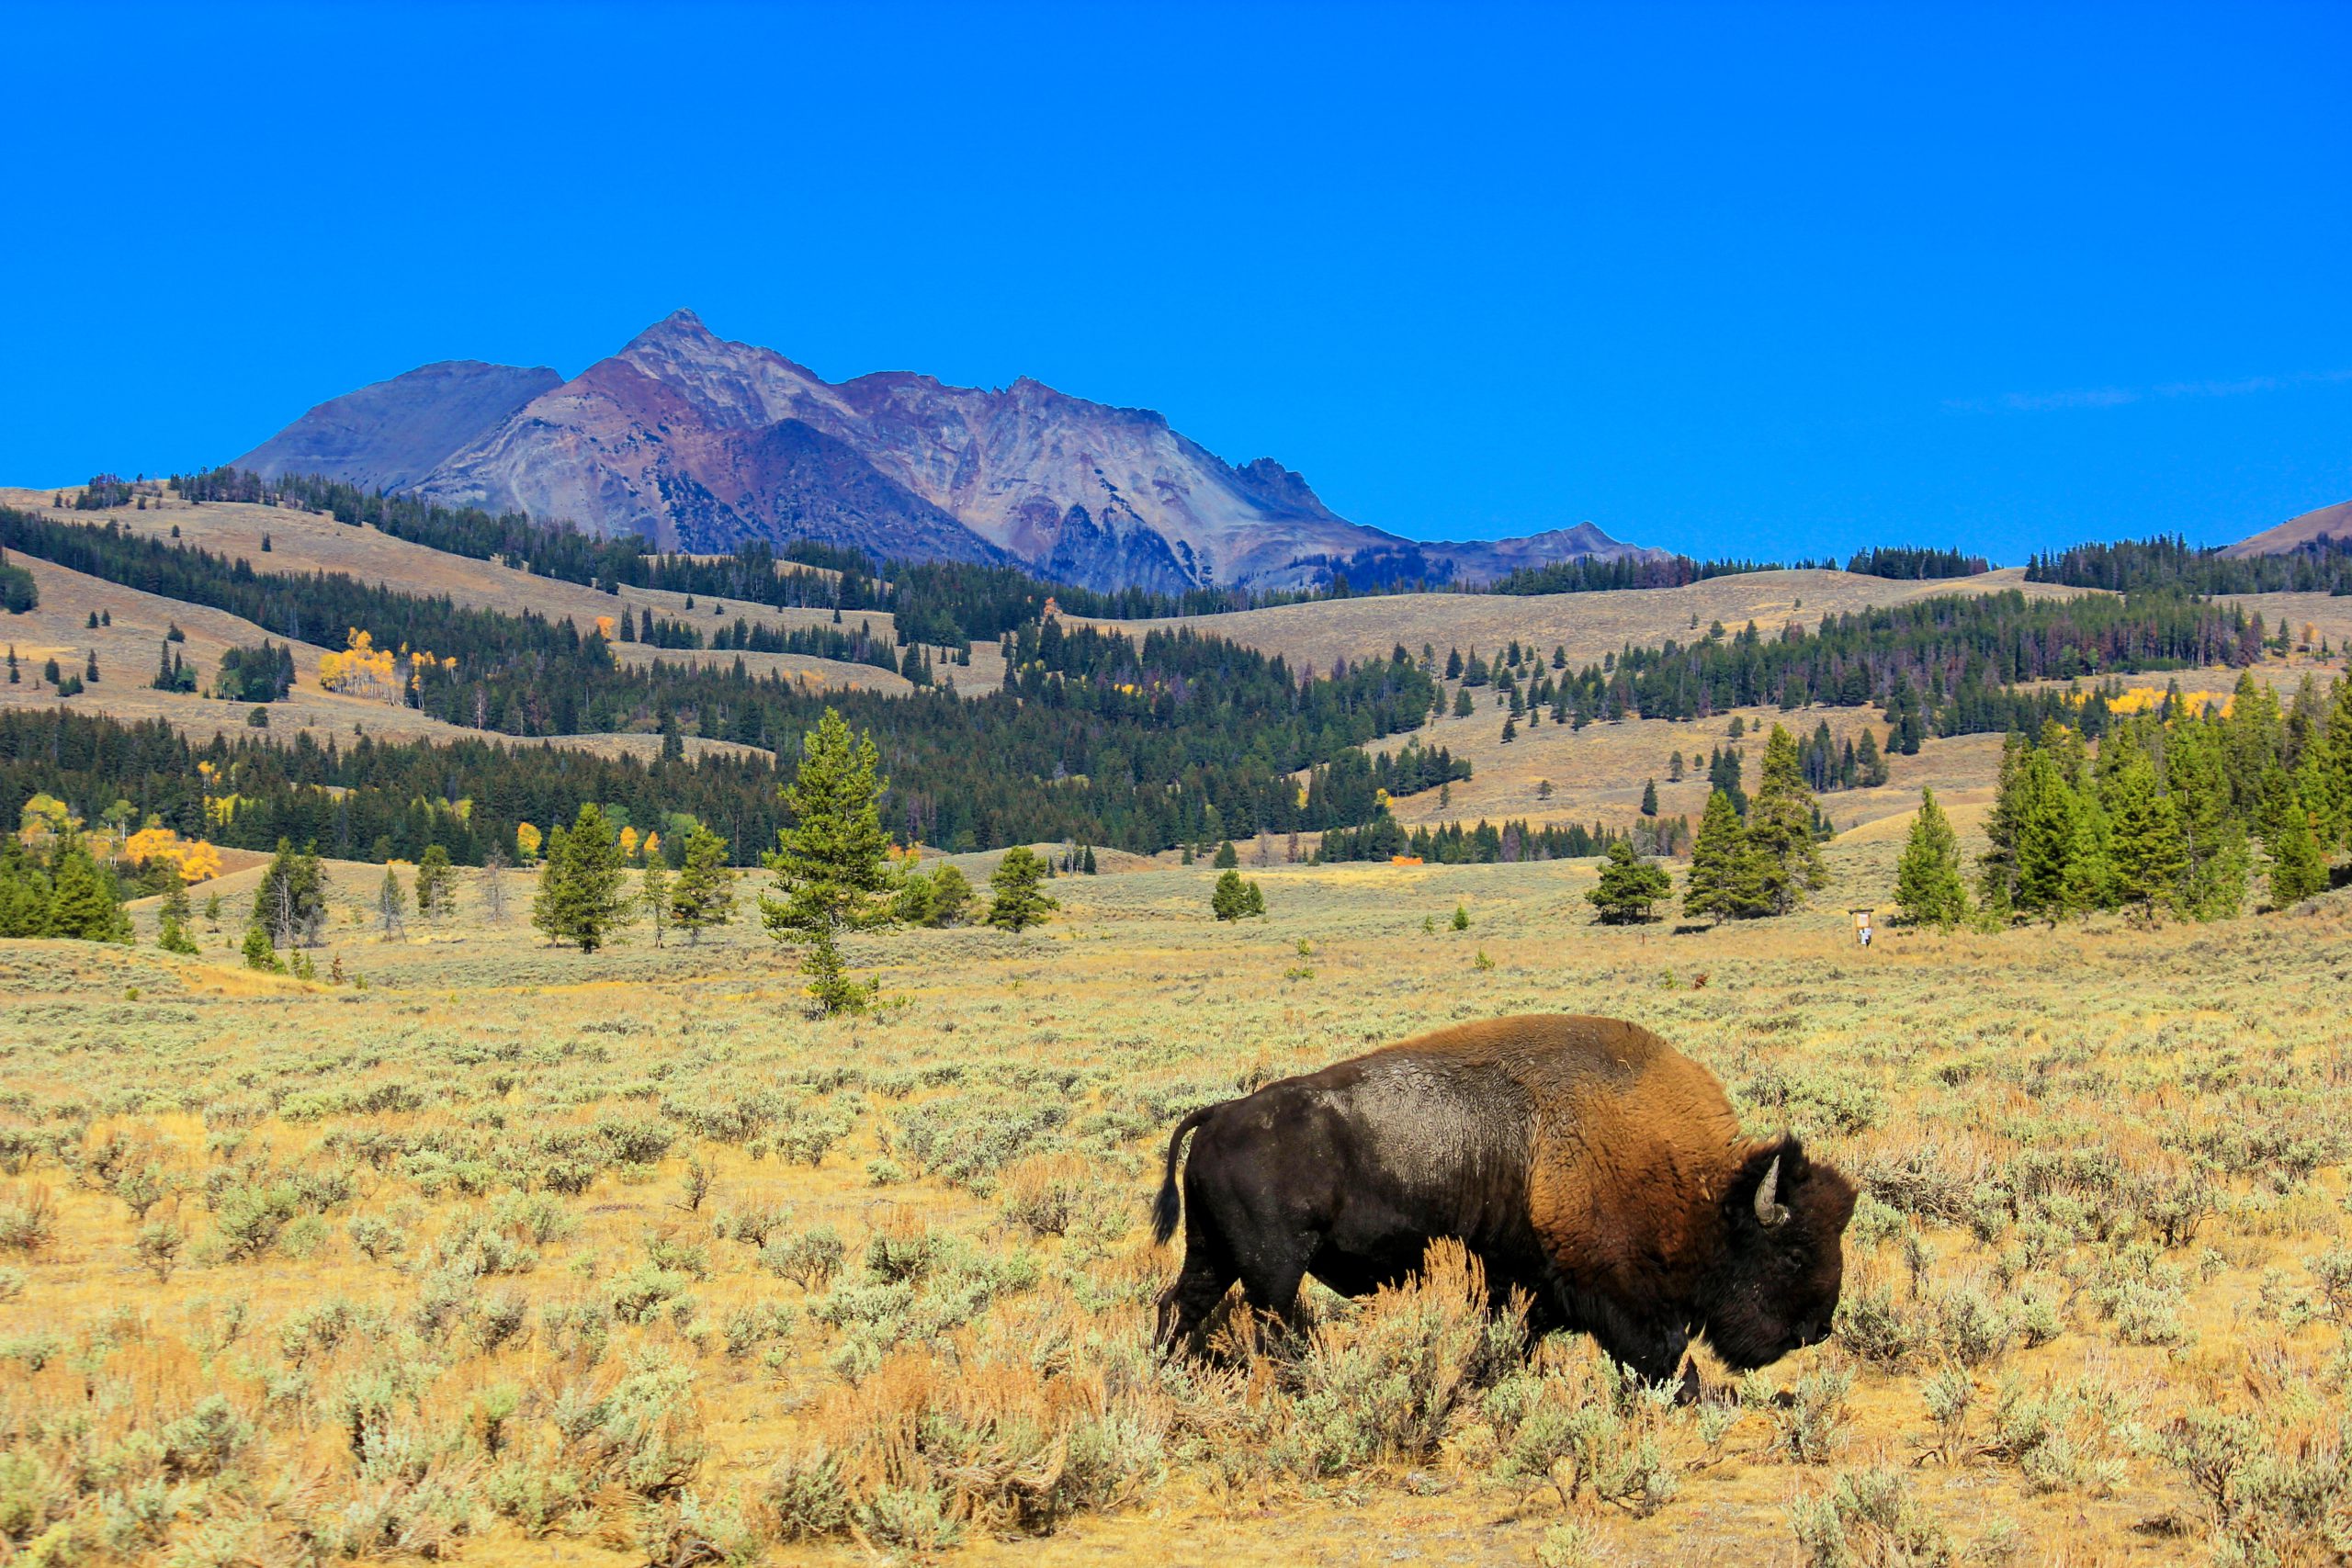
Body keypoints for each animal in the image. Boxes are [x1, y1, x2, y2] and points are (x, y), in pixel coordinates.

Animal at [1152, 1020, 1853, 1382]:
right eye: (1792, 1254)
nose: (1818, 1328)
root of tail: (1220, 1114)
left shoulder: (1518, 1285)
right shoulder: (1612, 1293)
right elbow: (1663, 1352)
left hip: (1213, 1253)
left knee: (1179, 1305)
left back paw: (1168, 1371)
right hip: (1274, 1268)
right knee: (1269, 1326)